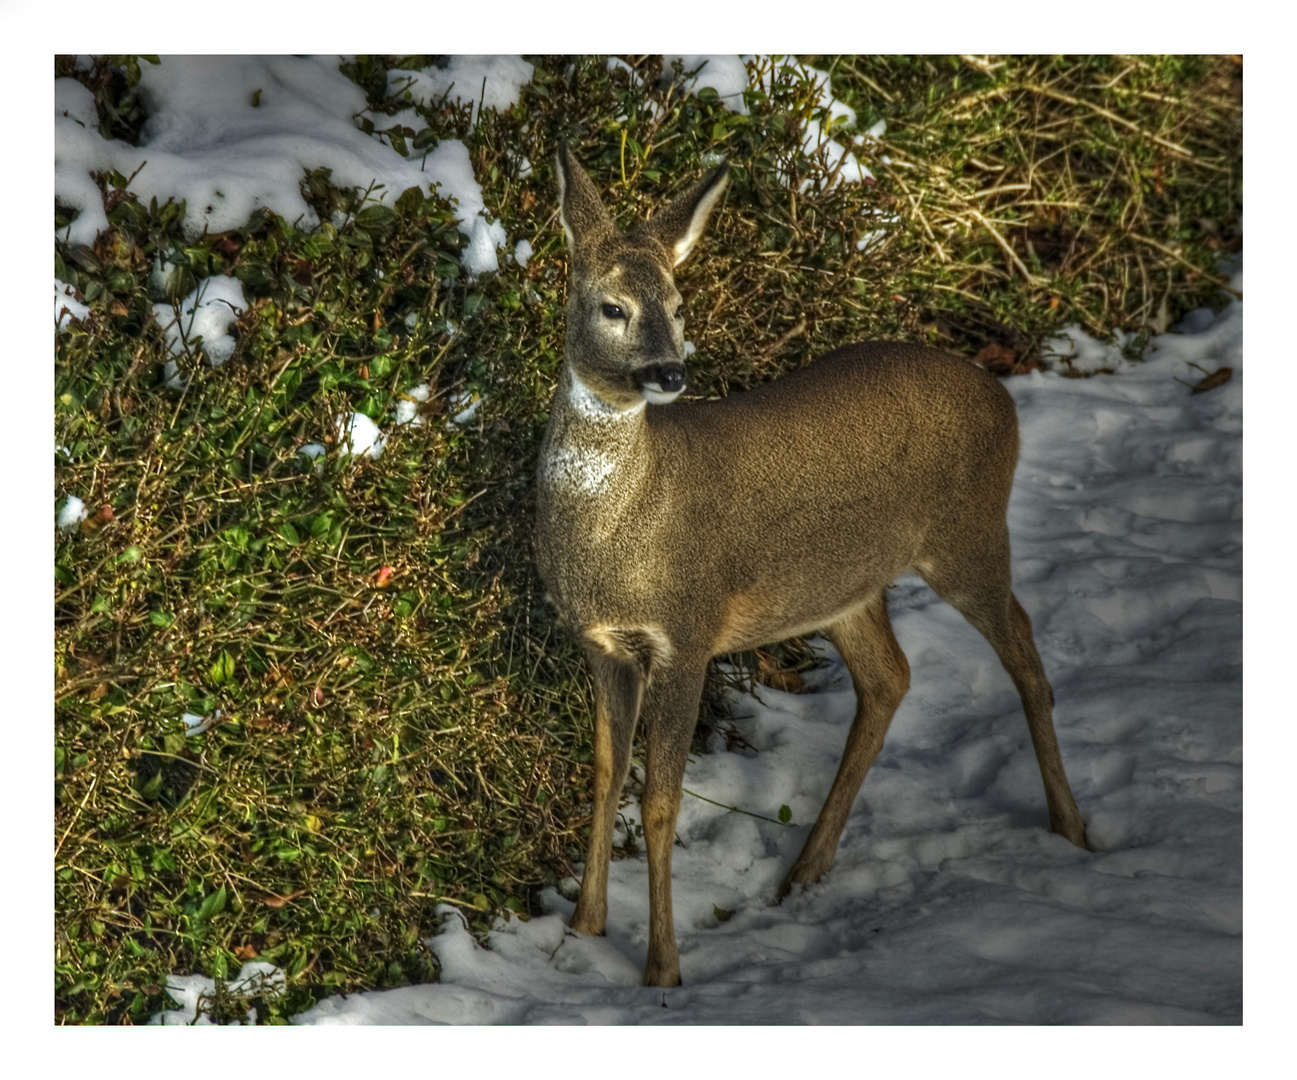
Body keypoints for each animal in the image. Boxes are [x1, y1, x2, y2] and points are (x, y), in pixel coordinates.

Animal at [531, 143, 1089, 985]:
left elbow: (660, 802)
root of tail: (1002, 396)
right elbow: (604, 777)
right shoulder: (604, 644)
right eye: (611, 308)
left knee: (1025, 656)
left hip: (968, 533)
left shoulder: (686, 630)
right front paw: (586, 927)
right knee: (890, 677)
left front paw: (661, 967)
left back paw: (1071, 829)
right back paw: (804, 870)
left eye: (679, 305)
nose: (668, 373)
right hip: (847, 586)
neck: (616, 529)